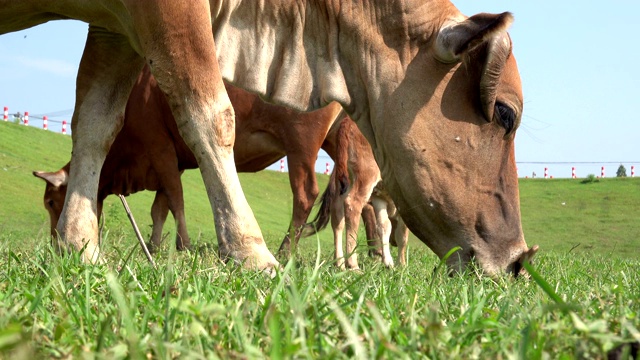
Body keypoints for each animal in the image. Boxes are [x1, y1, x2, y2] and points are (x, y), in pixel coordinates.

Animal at [32, 66, 344, 255]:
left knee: (305, 194)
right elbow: (159, 208)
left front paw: (183, 244)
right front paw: (154, 246)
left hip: (301, 144)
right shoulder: (173, 161)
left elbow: (176, 199)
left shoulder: (160, 148)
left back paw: (285, 251)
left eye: (51, 202)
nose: (54, 243)